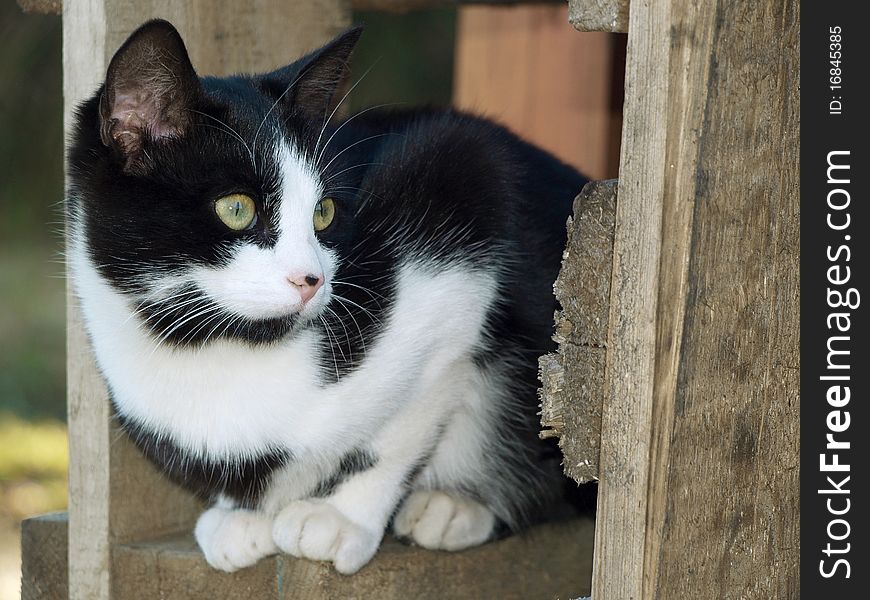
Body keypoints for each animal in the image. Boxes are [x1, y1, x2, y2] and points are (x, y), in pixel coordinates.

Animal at [68, 17, 592, 572]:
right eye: (236, 208)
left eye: (324, 212)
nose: (312, 279)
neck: (223, 348)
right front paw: (241, 514)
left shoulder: (461, 211)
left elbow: (400, 425)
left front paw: (339, 516)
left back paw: (453, 506)